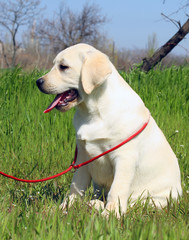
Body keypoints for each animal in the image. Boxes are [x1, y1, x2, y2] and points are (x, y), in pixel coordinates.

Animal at [35, 43, 182, 218]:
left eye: (63, 67)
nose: (38, 82)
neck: (93, 111)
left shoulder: (124, 157)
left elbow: (117, 189)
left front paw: (111, 214)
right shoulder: (82, 157)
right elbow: (76, 187)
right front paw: (64, 207)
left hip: (155, 198)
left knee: (136, 204)